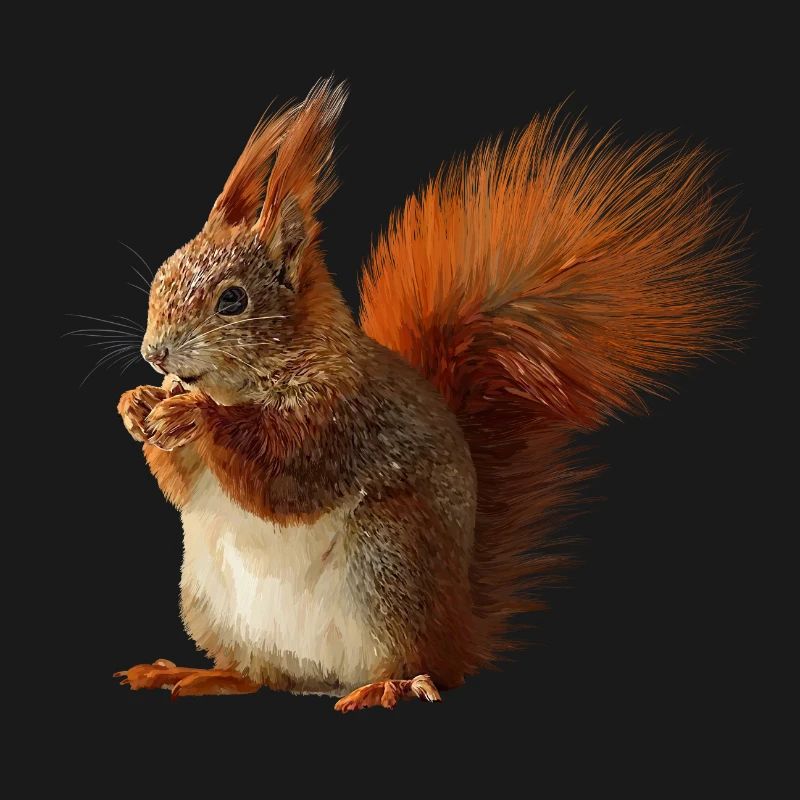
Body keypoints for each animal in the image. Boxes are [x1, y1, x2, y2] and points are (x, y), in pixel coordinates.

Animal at [114, 78, 747, 711]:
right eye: (164, 272)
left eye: (232, 300)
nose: (155, 353)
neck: (243, 384)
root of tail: (460, 629)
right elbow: (182, 485)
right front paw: (137, 404)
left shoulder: (343, 419)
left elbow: (282, 473)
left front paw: (194, 414)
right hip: (210, 600)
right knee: (263, 675)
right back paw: (200, 674)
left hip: (389, 560)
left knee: (421, 666)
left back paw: (389, 685)